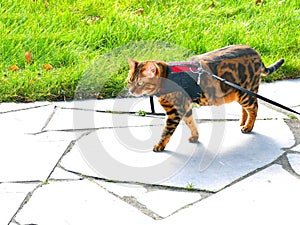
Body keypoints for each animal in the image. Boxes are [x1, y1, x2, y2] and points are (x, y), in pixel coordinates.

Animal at [126, 45, 284, 152]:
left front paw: (159, 145)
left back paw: (248, 127)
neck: (168, 77)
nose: (131, 91)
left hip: (245, 93)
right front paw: (195, 137)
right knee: (245, 109)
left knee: (254, 108)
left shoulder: (175, 111)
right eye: (129, 81)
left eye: (139, 83)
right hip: (237, 93)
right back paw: (242, 122)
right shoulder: (185, 108)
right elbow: (191, 123)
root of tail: (256, 52)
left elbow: (166, 131)